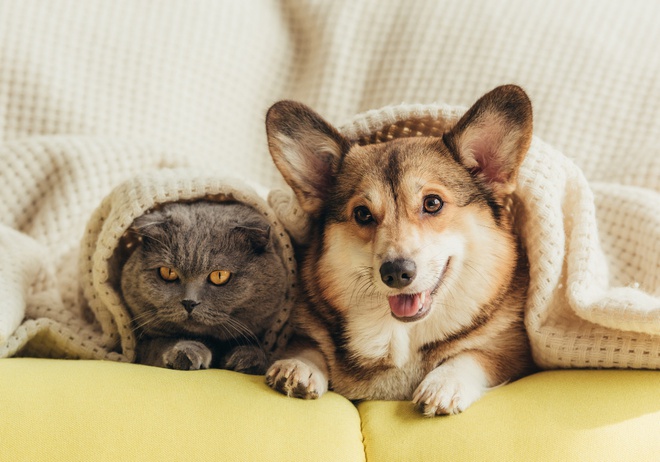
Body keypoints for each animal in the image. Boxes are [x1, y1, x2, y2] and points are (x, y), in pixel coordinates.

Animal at [121, 200, 286, 374]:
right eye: (168, 272)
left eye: (219, 275)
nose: (189, 302)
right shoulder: (142, 346)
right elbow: (159, 343)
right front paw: (187, 351)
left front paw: (249, 357)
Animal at [264, 85, 536, 416]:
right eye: (362, 214)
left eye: (432, 203)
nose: (396, 273)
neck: (399, 335)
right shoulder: (306, 329)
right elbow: (308, 345)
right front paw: (297, 366)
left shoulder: (513, 351)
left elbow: (473, 355)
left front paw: (444, 383)